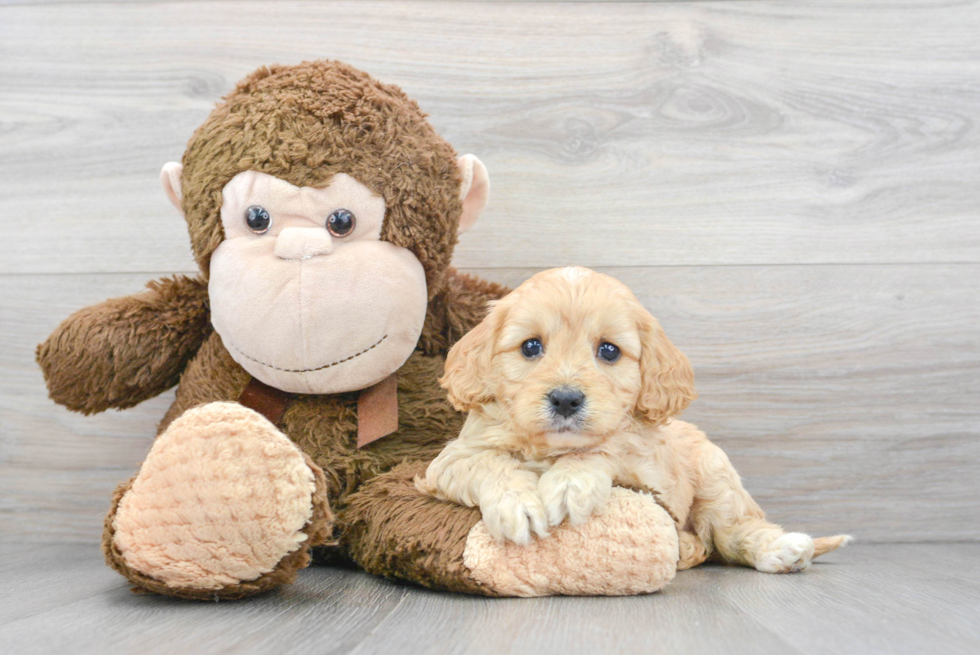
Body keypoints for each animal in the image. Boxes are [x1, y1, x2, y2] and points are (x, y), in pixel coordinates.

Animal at [420, 266, 848, 576]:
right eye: (530, 346)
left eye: (609, 351)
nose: (565, 399)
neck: (551, 448)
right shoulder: (450, 460)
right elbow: (489, 462)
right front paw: (517, 504)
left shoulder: (648, 471)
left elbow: (607, 448)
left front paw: (570, 483)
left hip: (717, 477)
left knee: (731, 534)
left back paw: (781, 549)